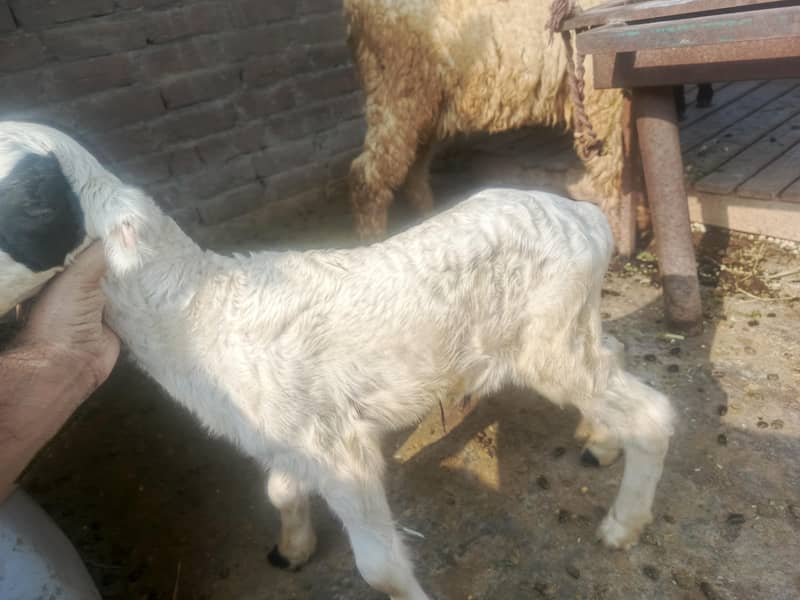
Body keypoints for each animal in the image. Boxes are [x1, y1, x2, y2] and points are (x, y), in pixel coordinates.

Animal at [0, 121, 675, 600]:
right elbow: (278, 489)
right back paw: (599, 438)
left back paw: (623, 522)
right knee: (612, 358)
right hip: (567, 324)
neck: (198, 309)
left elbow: (379, 567)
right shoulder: (290, 434)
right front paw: (292, 548)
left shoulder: (339, 448)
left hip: (546, 340)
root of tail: (584, 216)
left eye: (20, 210)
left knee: (652, 412)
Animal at [344, 0, 629, 242]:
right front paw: (619, 240)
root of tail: (356, 11)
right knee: (368, 176)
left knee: (414, 168)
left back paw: (426, 217)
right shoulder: (601, 93)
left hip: (426, 103)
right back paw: (373, 239)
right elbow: (615, 172)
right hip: (398, 88)